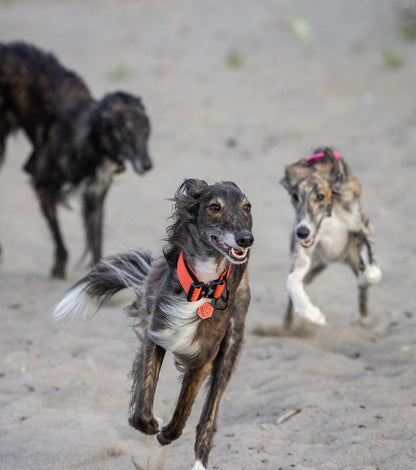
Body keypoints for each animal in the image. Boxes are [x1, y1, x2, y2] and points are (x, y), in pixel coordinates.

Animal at [0, 42, 153, 278]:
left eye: (146, 131)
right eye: (126, 133)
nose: (147, 165)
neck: (89, 142)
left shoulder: (95, 197)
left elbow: (96, 241)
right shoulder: (43, 185)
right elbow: (58, 234)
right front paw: (59, 268)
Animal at [52, 178, 254, 468]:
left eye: (247, 207)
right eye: (215, 207)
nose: (246, 239)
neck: (201, 285)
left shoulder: (203, 357)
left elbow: (183, 412)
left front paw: (164, 436)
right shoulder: (155, 335)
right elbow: (141, 407)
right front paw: (151, 424)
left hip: (232, 343)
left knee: (209, 414)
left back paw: (199, 460)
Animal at [282, 147, 382, 326]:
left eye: (320, 196)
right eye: (295, 197)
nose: (301, 232)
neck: (330, 214)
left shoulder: (363, 227)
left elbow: (372, 274)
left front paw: (364, 279)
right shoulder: (303, 251)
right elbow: (291, 282)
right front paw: (312, 313)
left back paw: (363, 317)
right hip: (314, 265)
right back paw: (287, 323)